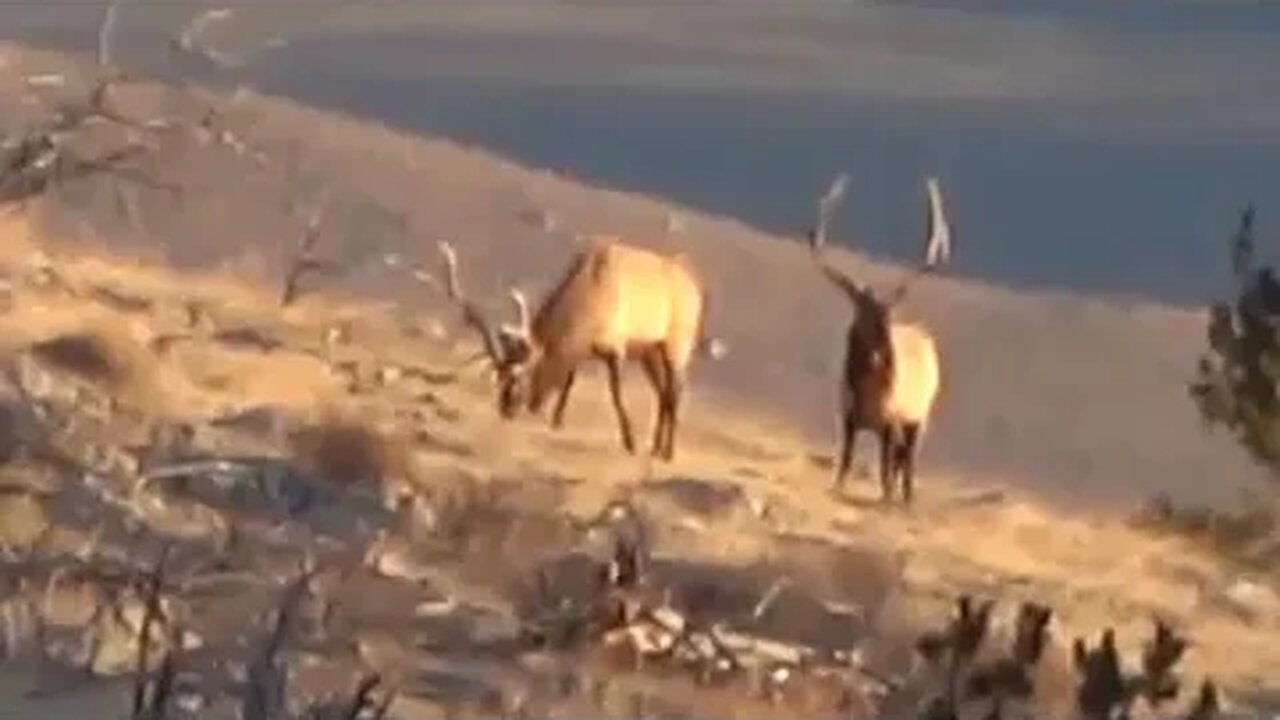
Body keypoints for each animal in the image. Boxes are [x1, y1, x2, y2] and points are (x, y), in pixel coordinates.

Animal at [437, 235, 721, 458]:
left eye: (523, 375)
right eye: (500, 376)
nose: (507, 408)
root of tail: (697, 287)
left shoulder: (617, 347)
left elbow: (616, 394)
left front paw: (630, 441)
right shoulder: (582, 350)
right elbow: (569, 382)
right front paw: (557, 420)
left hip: (677, 344)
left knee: (676, 391)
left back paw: (667, 451)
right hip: (649, 354)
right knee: (663, 393)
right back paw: (656, 447)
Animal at [808, 172, 952, 504]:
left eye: (885, 325)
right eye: (857, 325)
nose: (875, 359)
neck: (872, 400)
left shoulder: (892, 423)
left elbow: (887, 474)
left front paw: (888, 501)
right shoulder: (848, 418)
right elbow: (845, 464)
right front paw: (837, 489)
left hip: (920, 418)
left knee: (908, 465)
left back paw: (906, 502)